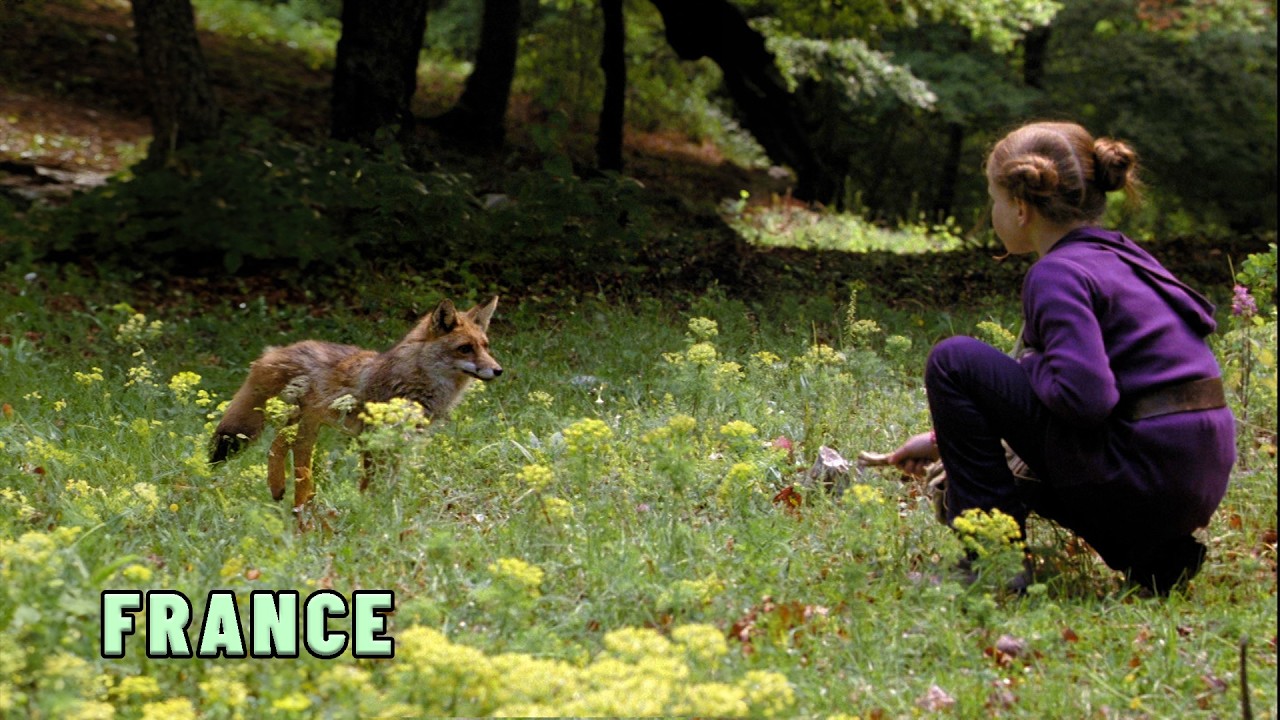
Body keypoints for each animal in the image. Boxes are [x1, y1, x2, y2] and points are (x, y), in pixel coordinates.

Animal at [209, 296, 502, 511]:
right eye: (465, 348)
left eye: (485, 346)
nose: (498, 370)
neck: (412, 383)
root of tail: (271, 353)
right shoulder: (373, 438)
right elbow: (370, 484)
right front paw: (369, 511)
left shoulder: (401, 441)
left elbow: (391, 483)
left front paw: (389, 508)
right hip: (297, 424)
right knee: (287, 453)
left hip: (304, 424)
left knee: (279, 446)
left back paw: (285, 494)